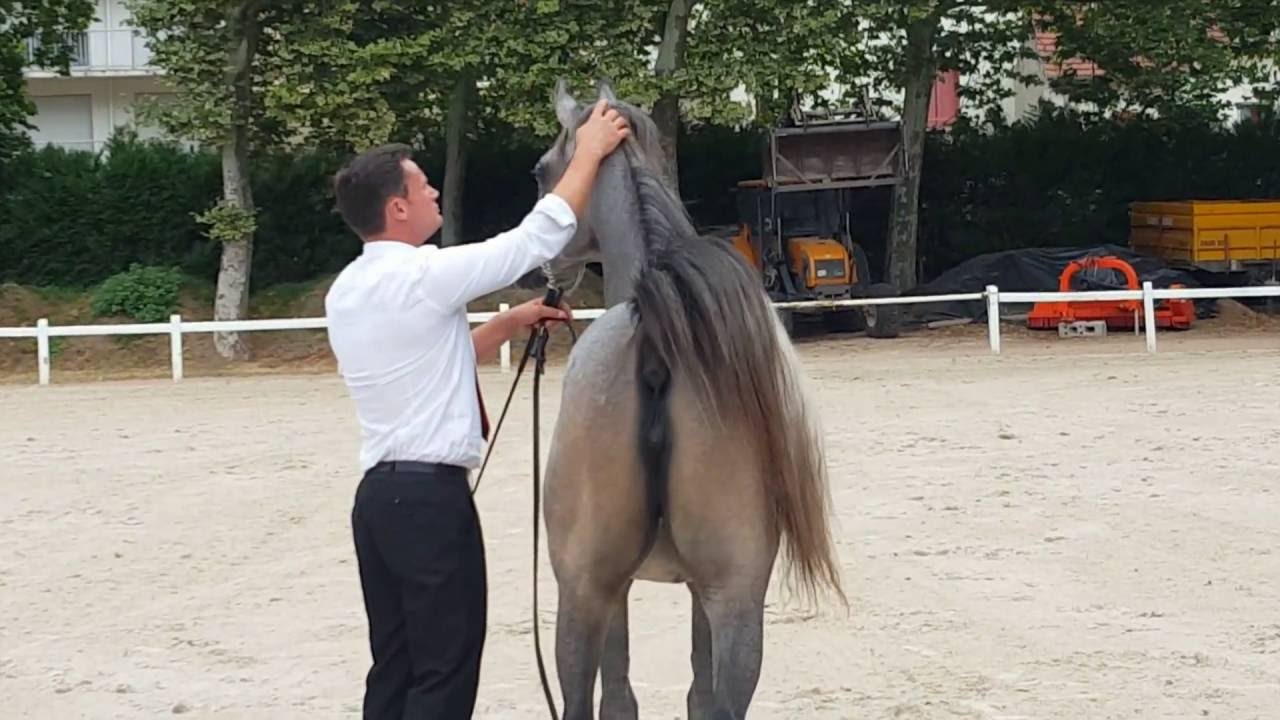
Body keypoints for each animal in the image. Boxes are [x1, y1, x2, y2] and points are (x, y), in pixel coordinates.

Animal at [527, 79, 845, 720]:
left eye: (542, 169)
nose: (541, 273)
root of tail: (654, 342)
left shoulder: (615, 588)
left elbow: (619, 694)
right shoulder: (705, 591)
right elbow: (698, 687)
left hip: (583, 591)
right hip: (737, 598)